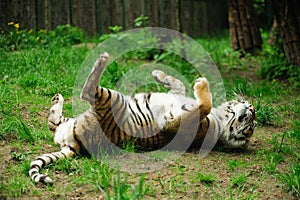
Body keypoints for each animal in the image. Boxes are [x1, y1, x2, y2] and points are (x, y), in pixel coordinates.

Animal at [29, 52, 256, 184]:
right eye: (251, 116)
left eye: (249, 125)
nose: (251, 110)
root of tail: (73, 145)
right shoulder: (178, 96)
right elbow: (178, 85)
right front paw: (158, 73)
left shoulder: (178, 125)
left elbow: (204, 105)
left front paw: (201, 83)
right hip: (77, 118)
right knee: (53, 122)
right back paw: (57, 98)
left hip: (114, 100)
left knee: (87, 92)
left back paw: (102, 58)